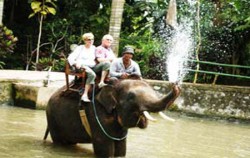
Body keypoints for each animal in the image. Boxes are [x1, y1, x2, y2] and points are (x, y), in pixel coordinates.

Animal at [44, 79, 180, 157]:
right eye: (131, 97)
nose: (175, 85)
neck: (114, 85)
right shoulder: (97, 114)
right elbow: (105, 148)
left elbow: (121, 148)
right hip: (52, 118)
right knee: (60, 142)